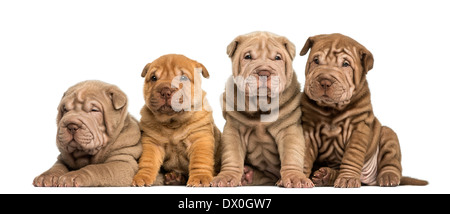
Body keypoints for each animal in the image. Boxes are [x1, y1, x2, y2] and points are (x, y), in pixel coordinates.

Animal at [131, 54, 221, 187]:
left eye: (183, 77)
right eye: (153, 78)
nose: (165, 91)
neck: (173, 121)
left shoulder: (199, 139)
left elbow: (200, 160)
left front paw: (200, 178)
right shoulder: (152, 142)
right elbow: (148, 161)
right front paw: (142, 176)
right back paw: (175, 178)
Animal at [211, 31, 312, 187]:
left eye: (277, 57)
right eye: (247, 56)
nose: (264, 72)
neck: (261, 105)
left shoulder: (289, 129)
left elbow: (291, 154)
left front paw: (296, 178)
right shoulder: (234, 129)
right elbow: (232, 155)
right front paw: (227, 177)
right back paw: (247, 175)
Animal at [298, 33, 428, 187]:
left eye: (345, 64)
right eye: (316, 61)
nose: (325, 81)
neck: (332, 109)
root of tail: (367, 180)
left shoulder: (358, 129)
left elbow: (352, 156)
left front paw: (348, 179)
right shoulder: (308, 131)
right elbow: (303, 155)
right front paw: (299, 177)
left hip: (388, 135)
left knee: (391, 161)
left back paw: (388, 177)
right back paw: (325, 175)